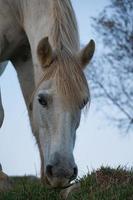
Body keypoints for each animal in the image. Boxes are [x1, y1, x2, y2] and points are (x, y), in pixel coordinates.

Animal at [0, 0, 95, 188]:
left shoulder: (24, 58)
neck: (15, 7)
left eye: (82, 103)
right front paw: (1, 179)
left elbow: (33, 120)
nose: (62, 172)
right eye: (41, 100)